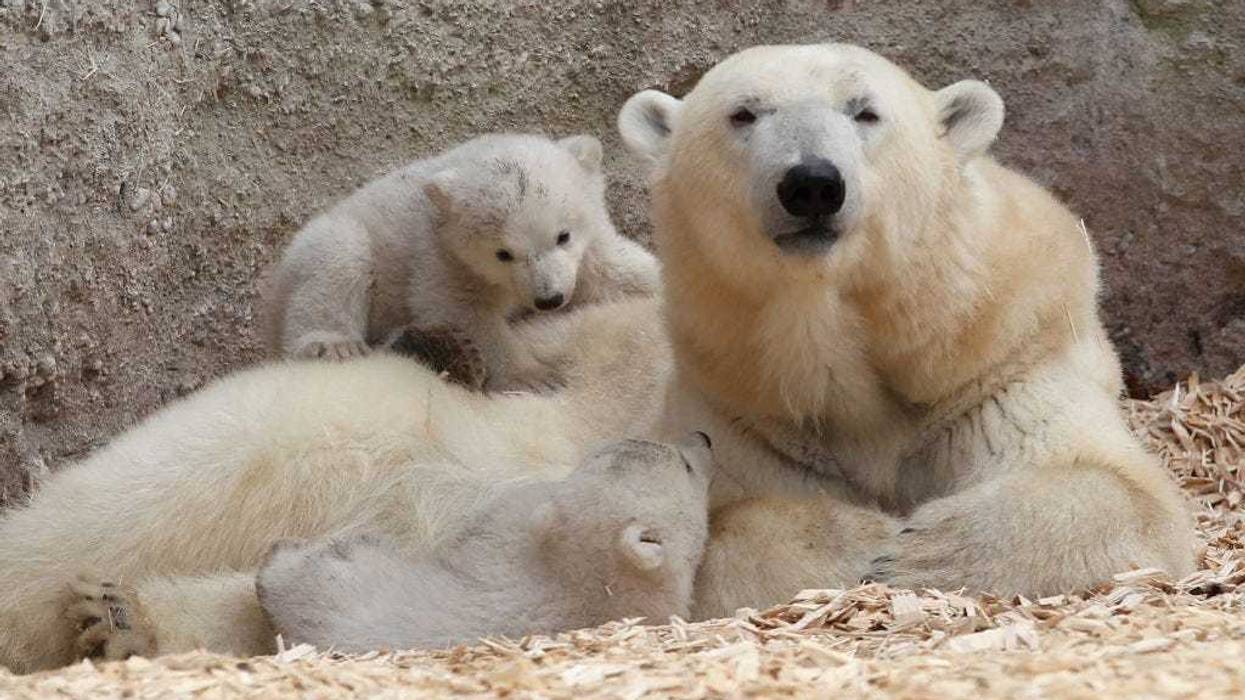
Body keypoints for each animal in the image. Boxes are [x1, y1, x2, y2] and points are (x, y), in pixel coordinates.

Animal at [261, 133, 660, 390]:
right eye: (503, 253)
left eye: (563, 235)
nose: (550, 299)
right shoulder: (441, 254)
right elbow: (462, 311)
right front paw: (536, 377)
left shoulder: (588, 247)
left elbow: (613, 271)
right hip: (313, 256)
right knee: (339, 256)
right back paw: (336, 344)